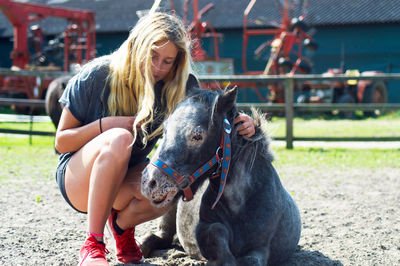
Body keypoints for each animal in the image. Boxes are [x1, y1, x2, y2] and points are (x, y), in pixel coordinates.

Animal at [141, 86, 300, 264]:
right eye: (165, 130)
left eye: (198, 136)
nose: (150, 181)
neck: (240, 205)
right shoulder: (206, 228)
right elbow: (216, 233)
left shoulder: (261, 247)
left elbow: (251, 260)